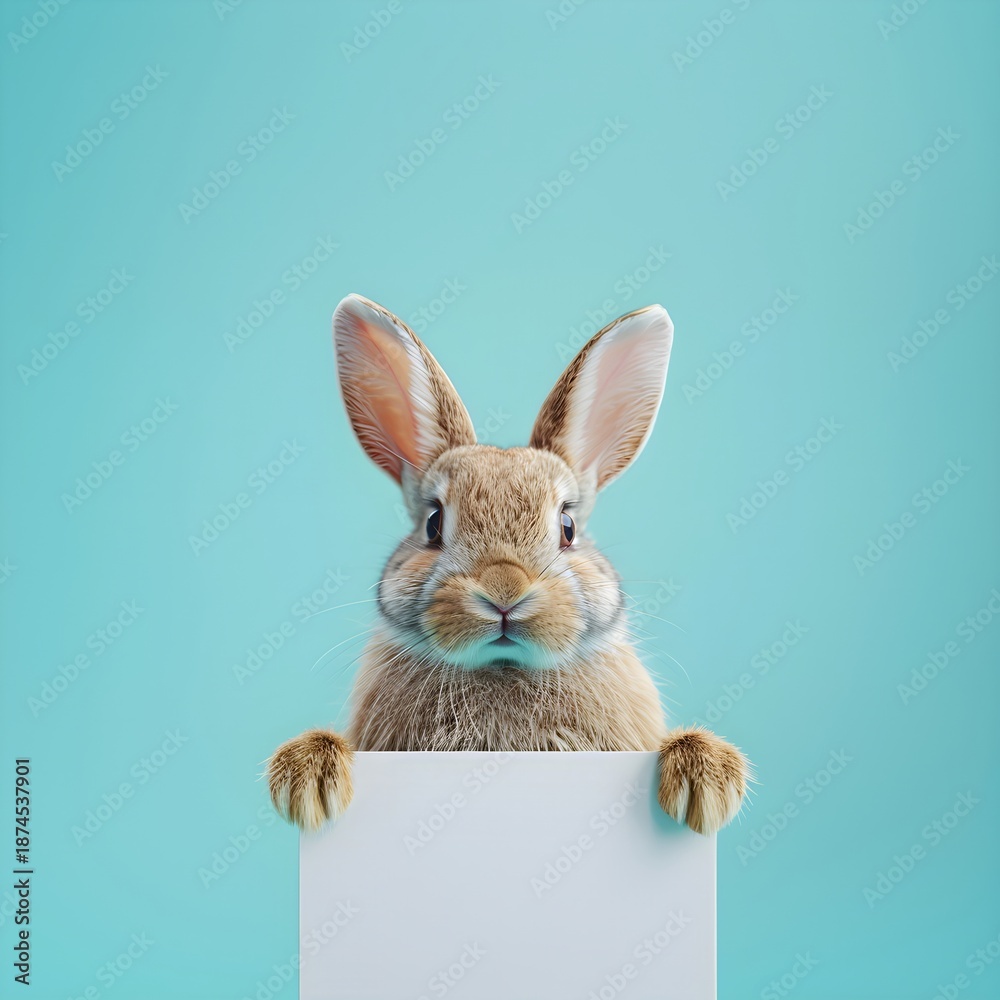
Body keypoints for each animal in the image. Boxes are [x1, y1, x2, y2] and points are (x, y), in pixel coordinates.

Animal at [267, 294, 749, 835]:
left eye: (568, 527)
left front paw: (707, 781)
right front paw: (308, 779)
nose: (504, 591)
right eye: (433, 523)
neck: (503, 670)